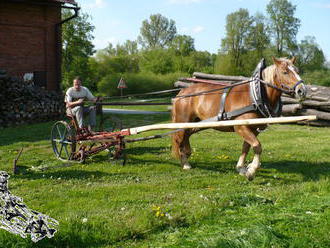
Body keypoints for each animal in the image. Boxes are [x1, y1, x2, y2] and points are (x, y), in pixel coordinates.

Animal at [173, 56, 306, 180]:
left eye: (297, 70)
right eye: (285, 72)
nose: (302, 90)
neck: (255, 96)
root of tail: (182, 92)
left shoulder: (253, 130)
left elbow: (246, 147)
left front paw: (241, 168)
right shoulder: (241, 127)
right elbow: (257, 146)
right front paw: (251, 171)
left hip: (198, 123)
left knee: (187, 135)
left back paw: (187, 154)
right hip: (183, 121)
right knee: (179, 139)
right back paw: (185, 163)